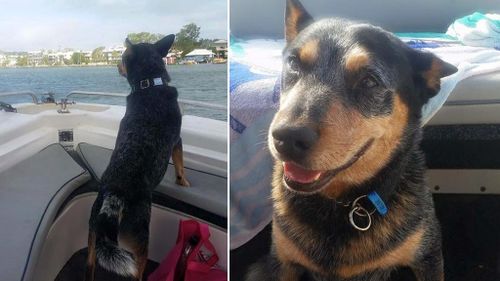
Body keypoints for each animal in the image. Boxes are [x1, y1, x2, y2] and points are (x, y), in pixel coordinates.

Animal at [85, 35, 189, 280]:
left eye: (122, 57)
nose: (116, 65)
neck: (149, 83)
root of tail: (115, 194)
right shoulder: (177, 141)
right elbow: (180, 166)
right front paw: (183, 182)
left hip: (94, 229)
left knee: (90, 263)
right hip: (139, 242)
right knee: (137, 272)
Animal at [246, 0, 458, 280]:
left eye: (369, 81)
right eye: (294, 63)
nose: (287, 137)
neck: (342, 206)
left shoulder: (428, 256)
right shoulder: (282, 262)